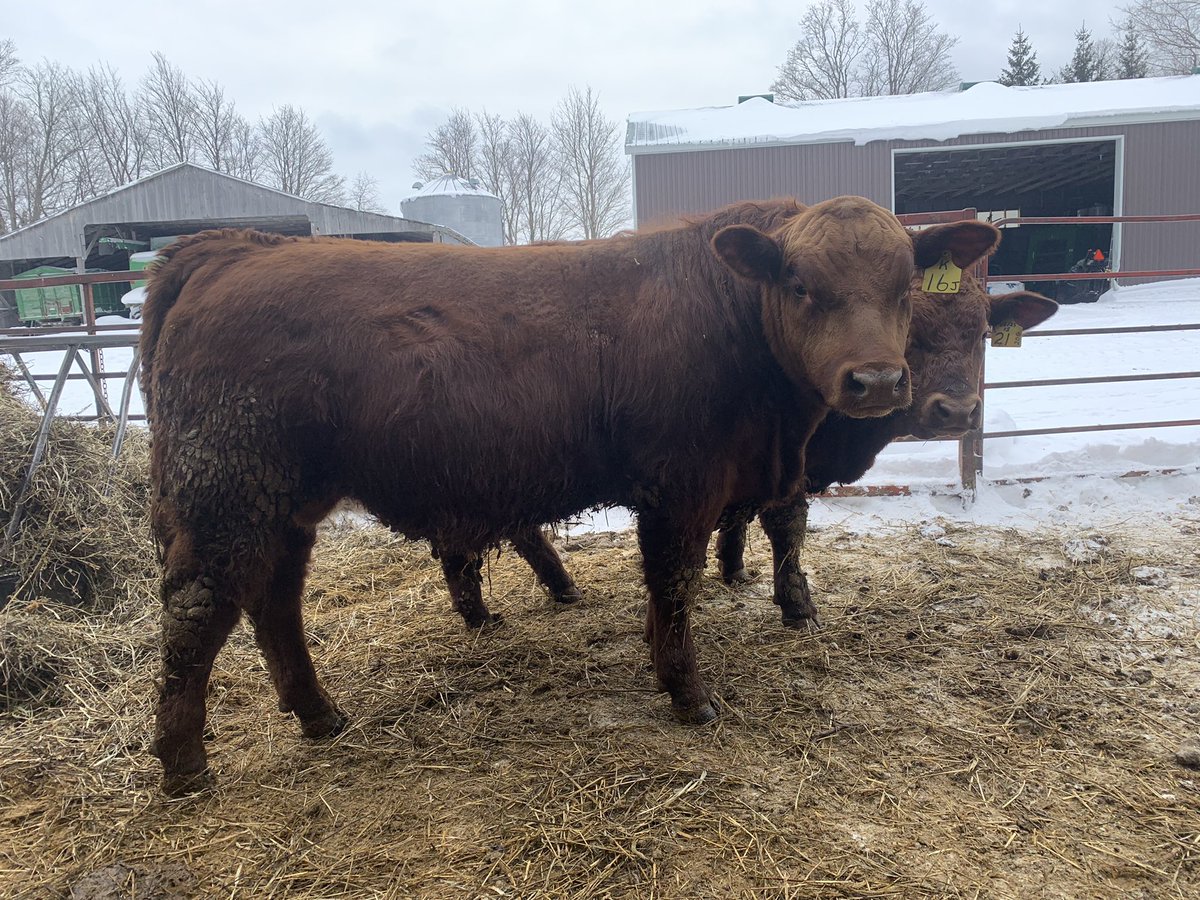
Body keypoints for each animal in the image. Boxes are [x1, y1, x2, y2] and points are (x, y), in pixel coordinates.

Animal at [139, 196, 998, 795]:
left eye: (905, 284)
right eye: (799, 282)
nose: (877, 381)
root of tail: (233, 248)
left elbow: (669, 588)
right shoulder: (682, 484)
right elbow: (676, 583)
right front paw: (689, 695)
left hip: (282, 504)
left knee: (274, 600)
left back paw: (320, 714)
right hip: (229, 493)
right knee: (197, 610)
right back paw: (184, 767)